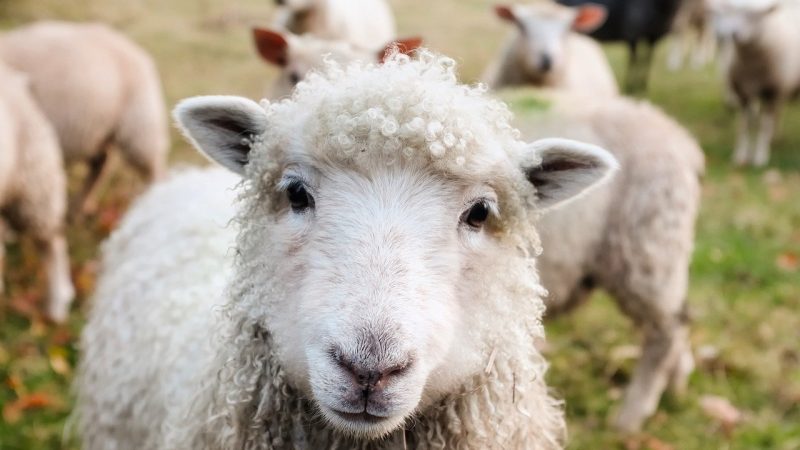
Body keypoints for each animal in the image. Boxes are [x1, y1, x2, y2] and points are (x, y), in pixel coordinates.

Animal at [708, 0, 800, 167]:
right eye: (732, 11)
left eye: (754, 15)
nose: (733, 34)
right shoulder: (743, 93)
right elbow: (744, 124)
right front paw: (741, 155)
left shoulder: (772, 92)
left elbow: (764, 125)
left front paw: (760, 157)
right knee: (778, 112)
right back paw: (775, 137)